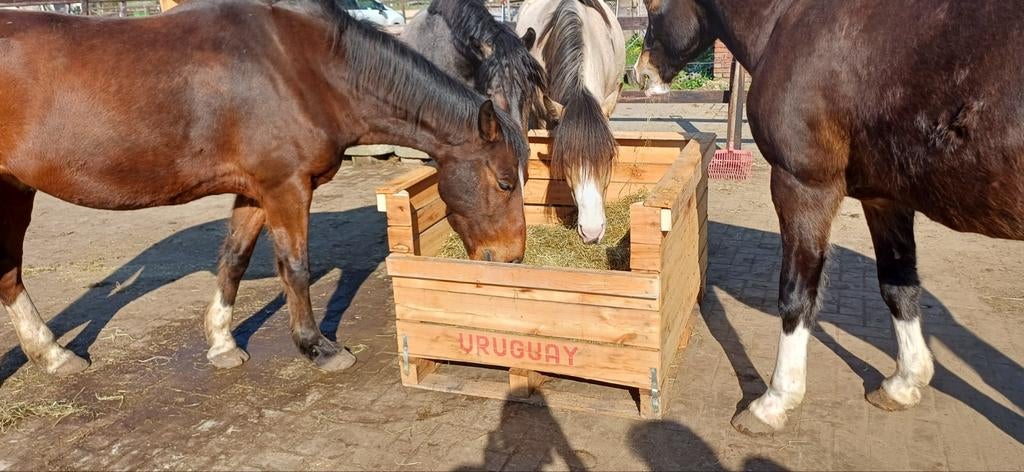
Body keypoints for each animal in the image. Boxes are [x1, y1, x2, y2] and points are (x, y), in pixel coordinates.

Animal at [0, 0, 528, 378]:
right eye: (505, 181)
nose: (513, 258)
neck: (304, 67)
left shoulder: (256, 191)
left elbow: (233, 259)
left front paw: (222, 343)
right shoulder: (286, 188)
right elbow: (295, 267)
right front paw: (317, 347)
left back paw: (53, 356)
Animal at [635, 0, 1024, 435]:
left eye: (653, 7)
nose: (640, 73)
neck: (789, 19)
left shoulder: (804, 187)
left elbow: (796, 295)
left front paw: (775, 401)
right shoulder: (884, 199)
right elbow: (898, 284)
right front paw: (904, 383)